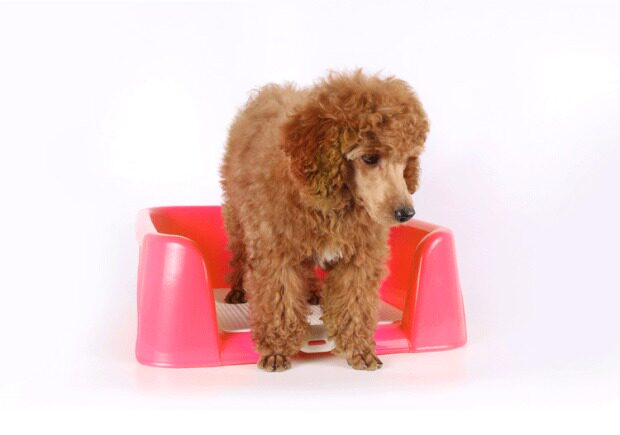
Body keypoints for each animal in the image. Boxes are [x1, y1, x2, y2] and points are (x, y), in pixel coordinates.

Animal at [219, 70, 429, 371]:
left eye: (406, 160)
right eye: (369, 158)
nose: (405, 213)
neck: (334, 203)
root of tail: (267, 92)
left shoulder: (359, 257)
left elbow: (354, 303)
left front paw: (358, 349)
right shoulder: (276, 251)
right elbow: (280, 300)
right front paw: (276, 349)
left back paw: (312, 292)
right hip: (238, 216)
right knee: (238, 252)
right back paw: (237, 290)